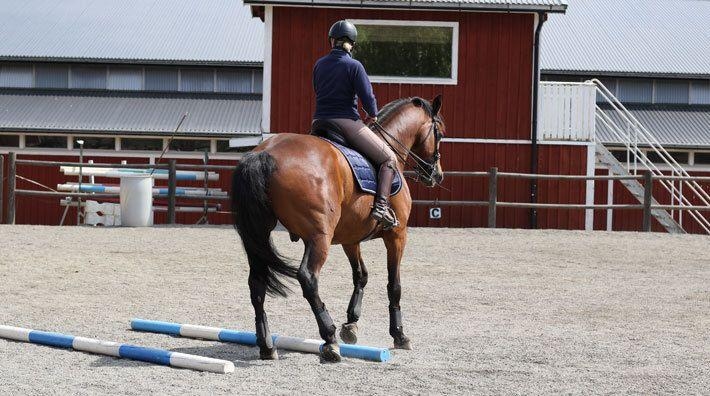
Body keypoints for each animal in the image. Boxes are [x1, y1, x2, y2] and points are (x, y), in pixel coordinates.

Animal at [232, 95, 444, 362]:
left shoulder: (350, 239)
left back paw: (267, 346)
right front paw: (399, 334)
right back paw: (329, 338)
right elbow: (394, 285)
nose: (436, 175)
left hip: (259, 235)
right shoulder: (397, 235)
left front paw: (351, 324)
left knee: (257, 283)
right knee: (308, 278)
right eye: (440, 134)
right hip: (319, 237)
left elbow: (361, 275)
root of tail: (263, 153)